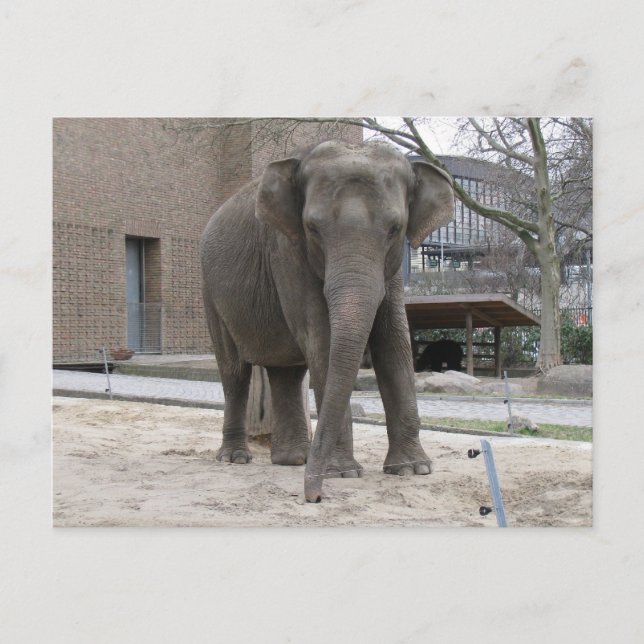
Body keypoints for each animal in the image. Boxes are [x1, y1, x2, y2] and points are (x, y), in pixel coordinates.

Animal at [200, 140, 454, 502]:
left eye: (395, 229)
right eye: (312, 229)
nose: (314, 496)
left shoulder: (390, 274)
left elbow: (394, 343)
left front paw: (412, 469)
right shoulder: (287, 252)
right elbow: (324, 340)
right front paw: (344, 474)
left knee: (287, 373)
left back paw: (294, 460)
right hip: (211, 294)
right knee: (235, 372)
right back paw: (236, 459)